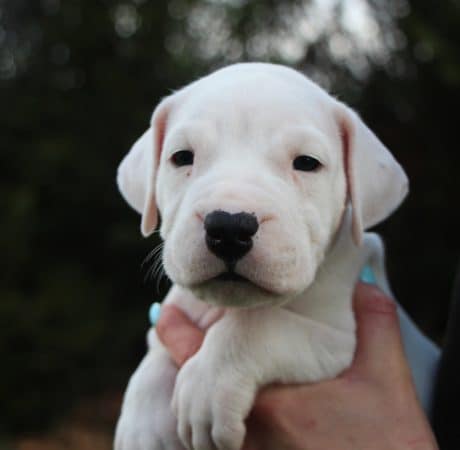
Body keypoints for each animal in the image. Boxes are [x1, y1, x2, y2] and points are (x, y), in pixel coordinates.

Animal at [114, 62, 438, 450]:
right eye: (182, 158)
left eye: (307, 163)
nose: (229, 227)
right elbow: (158, 344)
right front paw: (143, 425)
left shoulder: (336, 338)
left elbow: (259, 325)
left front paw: (207, 385)